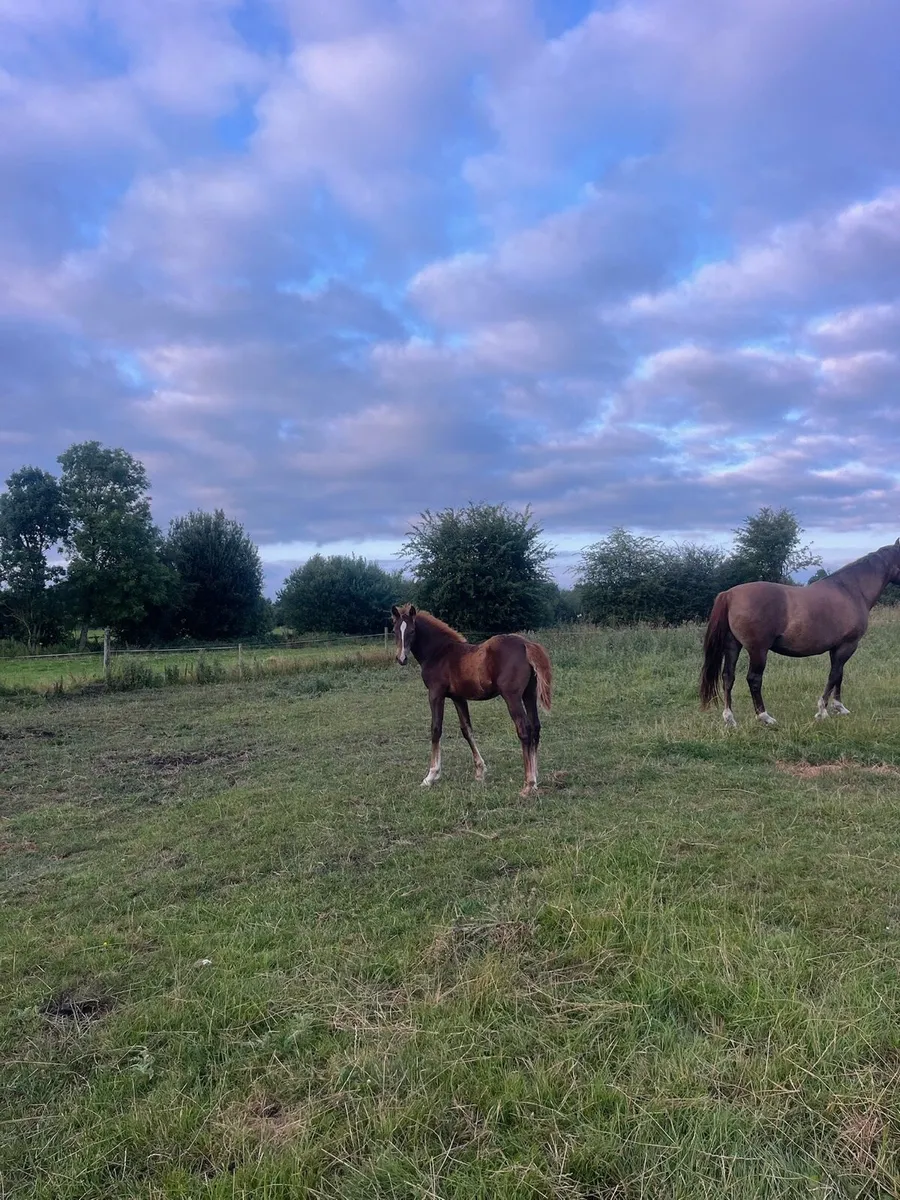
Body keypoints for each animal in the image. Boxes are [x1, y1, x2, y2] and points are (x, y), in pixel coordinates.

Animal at [391, 604, 553, 796]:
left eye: (412, 631)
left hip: (512, 696)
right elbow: (466, 729)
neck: (439, 652)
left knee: (524, 729)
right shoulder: (458, 697)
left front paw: (431, 776)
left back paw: (528, 784)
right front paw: (480, 772)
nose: (401, 659)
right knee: (535, 727)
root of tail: (526, 644)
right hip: (529, 694)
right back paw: (534, 779)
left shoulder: (435, 693)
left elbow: (436, 729)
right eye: (394, 630)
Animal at [700, 540, 900, 727]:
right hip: (758, 650)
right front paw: (822, 711)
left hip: (733, 645)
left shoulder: (837, 647)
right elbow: (834, 675)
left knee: (728, 677)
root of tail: (730, 594)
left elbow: (839, 675)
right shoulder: (848, 645)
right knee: (754, 679)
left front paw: (839, 707)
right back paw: (765, 717)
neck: (851, 590)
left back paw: (730, 719)